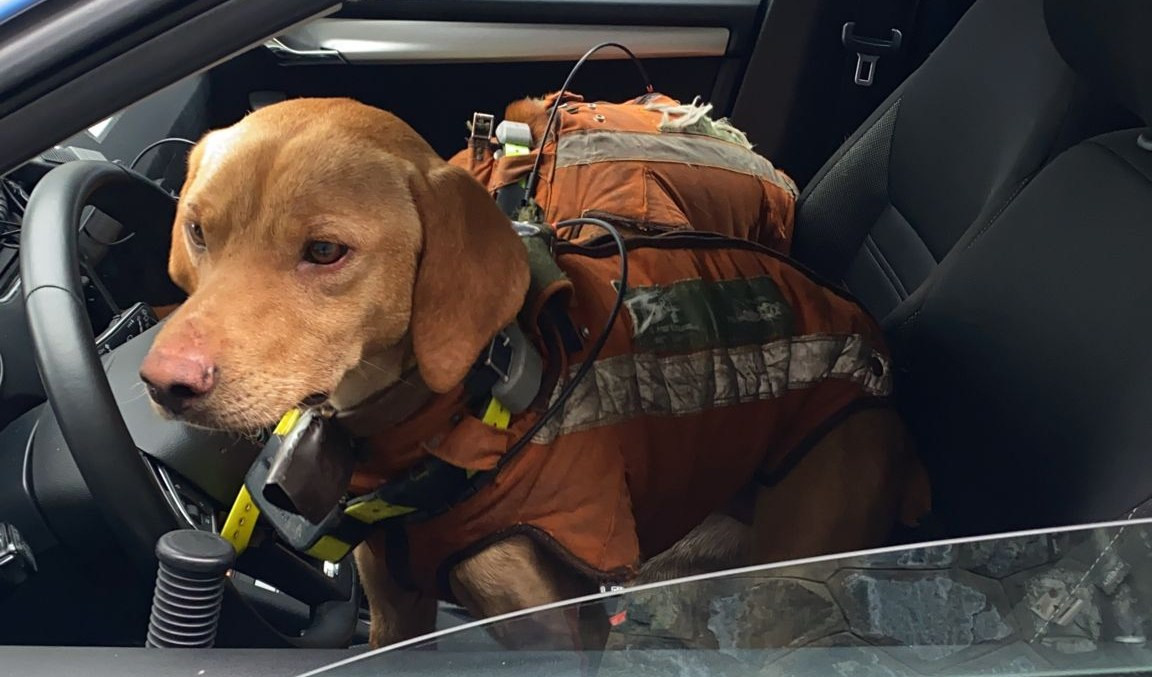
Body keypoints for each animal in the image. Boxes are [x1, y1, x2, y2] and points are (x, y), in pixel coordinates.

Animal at [139, 96, 930, 649]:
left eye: (326, 250)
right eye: (198, 231)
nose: (160, 382)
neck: (450, 415)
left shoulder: (556, 626)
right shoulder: (396, 610)